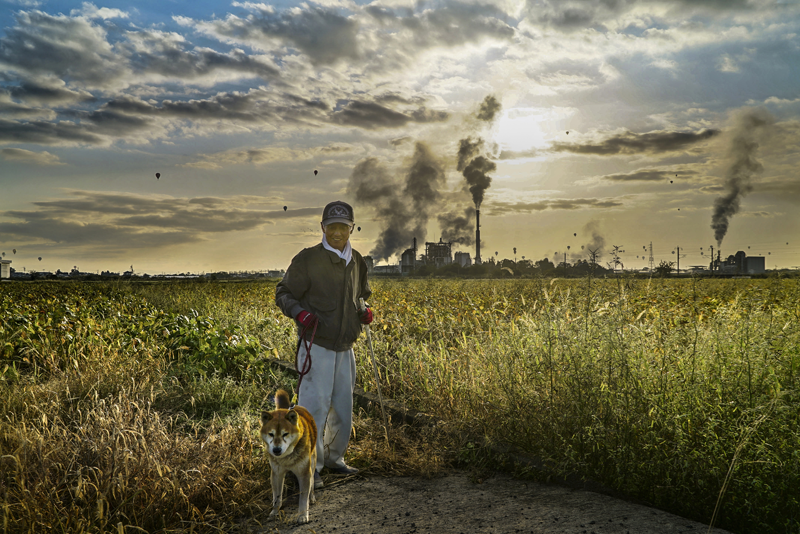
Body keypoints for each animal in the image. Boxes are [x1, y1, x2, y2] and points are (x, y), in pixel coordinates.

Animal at [260, 392, 316, 524]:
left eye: (285, 434)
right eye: (271, 434)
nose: (276, 450)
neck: (286, 458)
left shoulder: (304, 473)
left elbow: (303, 498)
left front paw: (302, 516)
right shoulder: (276, 473)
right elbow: (277, 498)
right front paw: (274, 513)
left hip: (312, 461)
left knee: (312, 482)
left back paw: (312, 497)